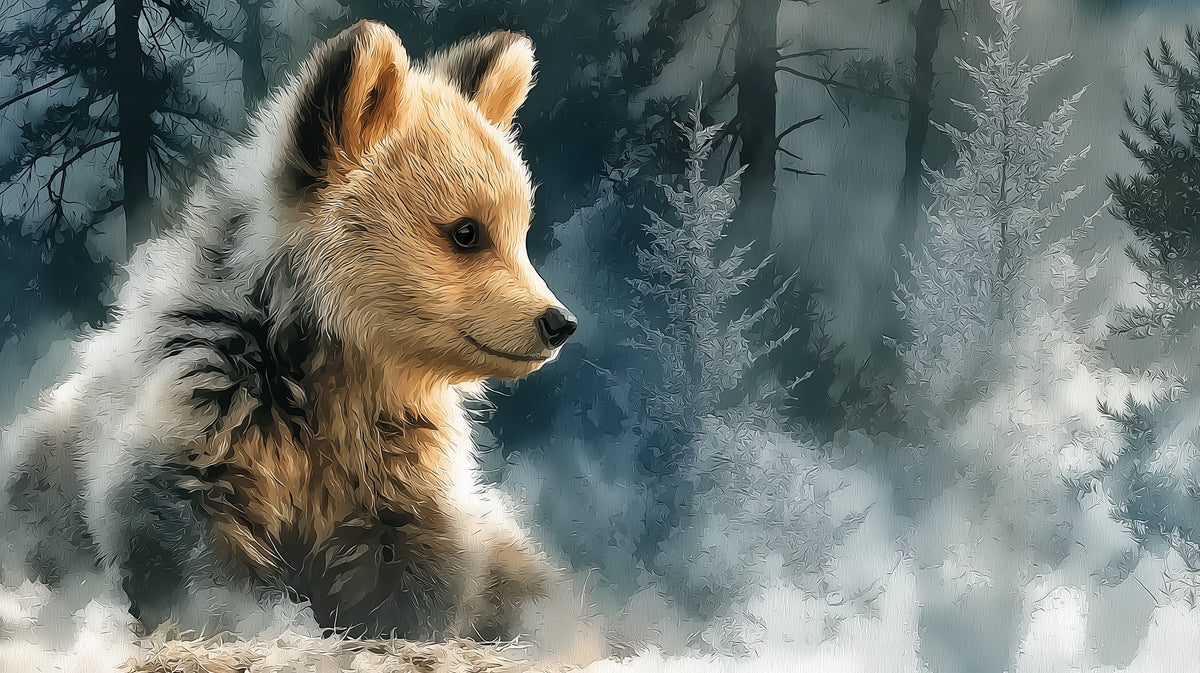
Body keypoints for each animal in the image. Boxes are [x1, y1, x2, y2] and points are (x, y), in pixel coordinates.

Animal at [0, 21, 576, 642]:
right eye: (466, 231)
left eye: (520, 229)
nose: (558, 323)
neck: (331, 363)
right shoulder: (211, 410)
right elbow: (181, 539)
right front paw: (257, 619)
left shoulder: (396, 470)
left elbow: (419, 572)